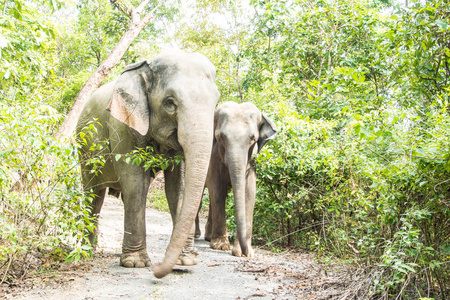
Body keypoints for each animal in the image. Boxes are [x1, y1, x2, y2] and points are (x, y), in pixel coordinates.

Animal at [76, 49, 220, 278]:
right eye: (170, 102)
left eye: (215, 103)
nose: (159, 270)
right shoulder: (122, 126)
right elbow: (136, 184)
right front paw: (135, 263)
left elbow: (177, 188)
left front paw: (187, 261)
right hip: (84, 149)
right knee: (94, 194)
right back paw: (88, 252)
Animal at [205, 103, 276, 258]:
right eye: (221, 137)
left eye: (253, 138)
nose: (245, 252)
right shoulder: (213, 157)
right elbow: (217, 190)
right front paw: (220, 246)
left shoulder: (252, 161)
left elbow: (249, 194)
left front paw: (244, 253)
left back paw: (208, 237)